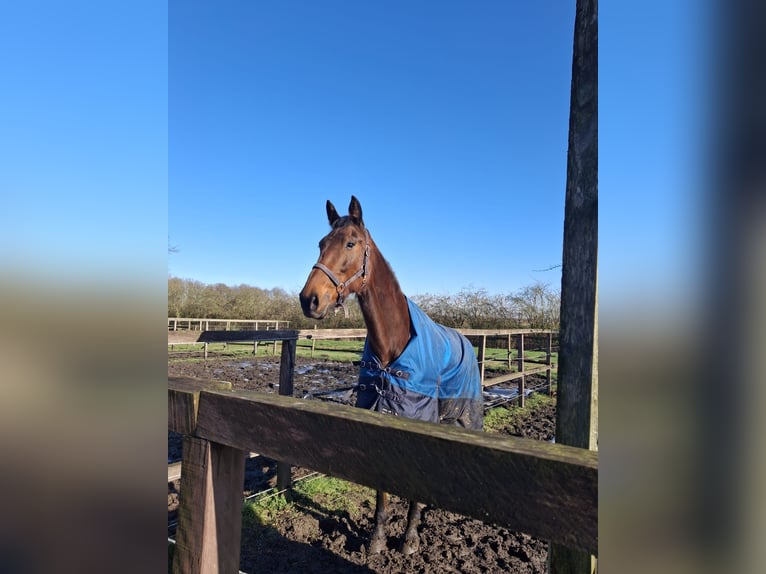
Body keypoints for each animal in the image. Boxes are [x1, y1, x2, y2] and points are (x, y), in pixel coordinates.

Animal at [298, 196, 484, 556]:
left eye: (351, 243)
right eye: (321, 244)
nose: (309, 299)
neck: (391, 348)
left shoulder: (418, 418)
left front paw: (409, 538)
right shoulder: (380, 415)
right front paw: (377, 538)